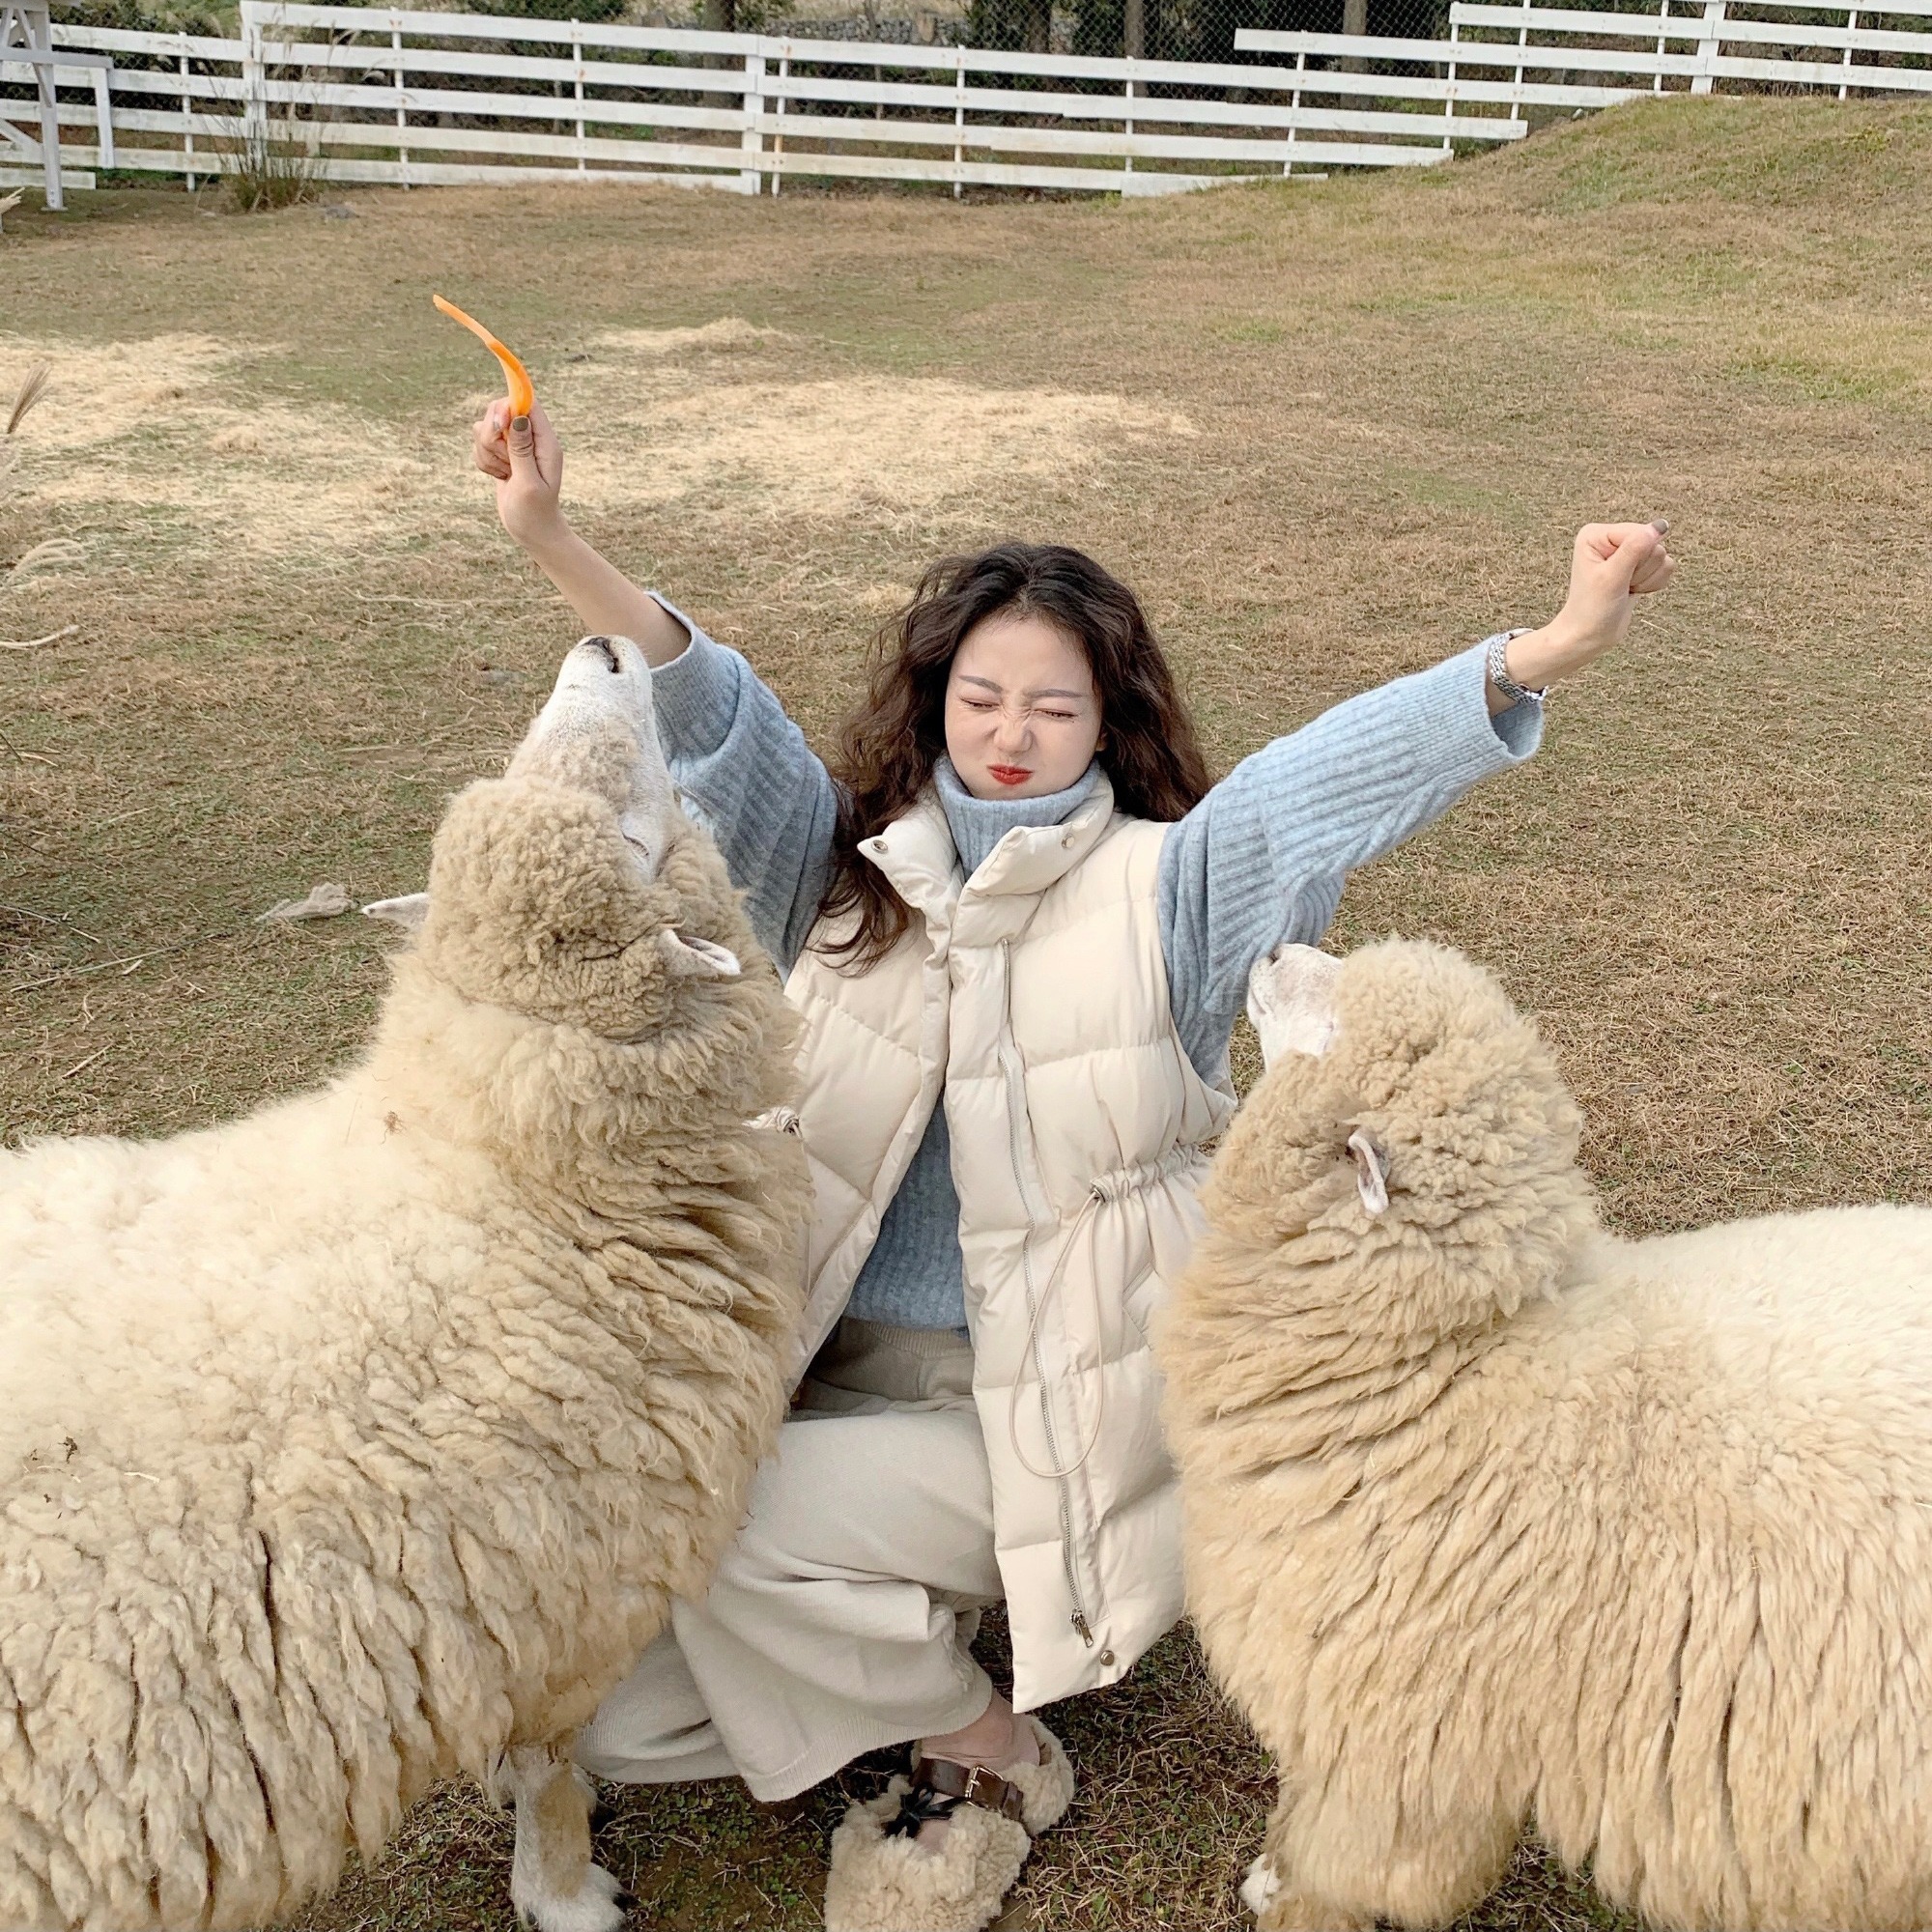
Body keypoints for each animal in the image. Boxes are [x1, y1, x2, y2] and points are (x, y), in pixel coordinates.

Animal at [0, 638, 808, 1932]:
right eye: (636, 842)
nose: (606, 646)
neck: (510, 1172)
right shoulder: (559, 1595)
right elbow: (551, 1763)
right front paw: (565, 1888)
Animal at [1151, 939, 1932, 1932]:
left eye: (1330, 1029)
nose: (1272, 949)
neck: (1451, 1359)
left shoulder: (1391, 1747)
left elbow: (1346, 1870)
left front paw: (1278, 1890)